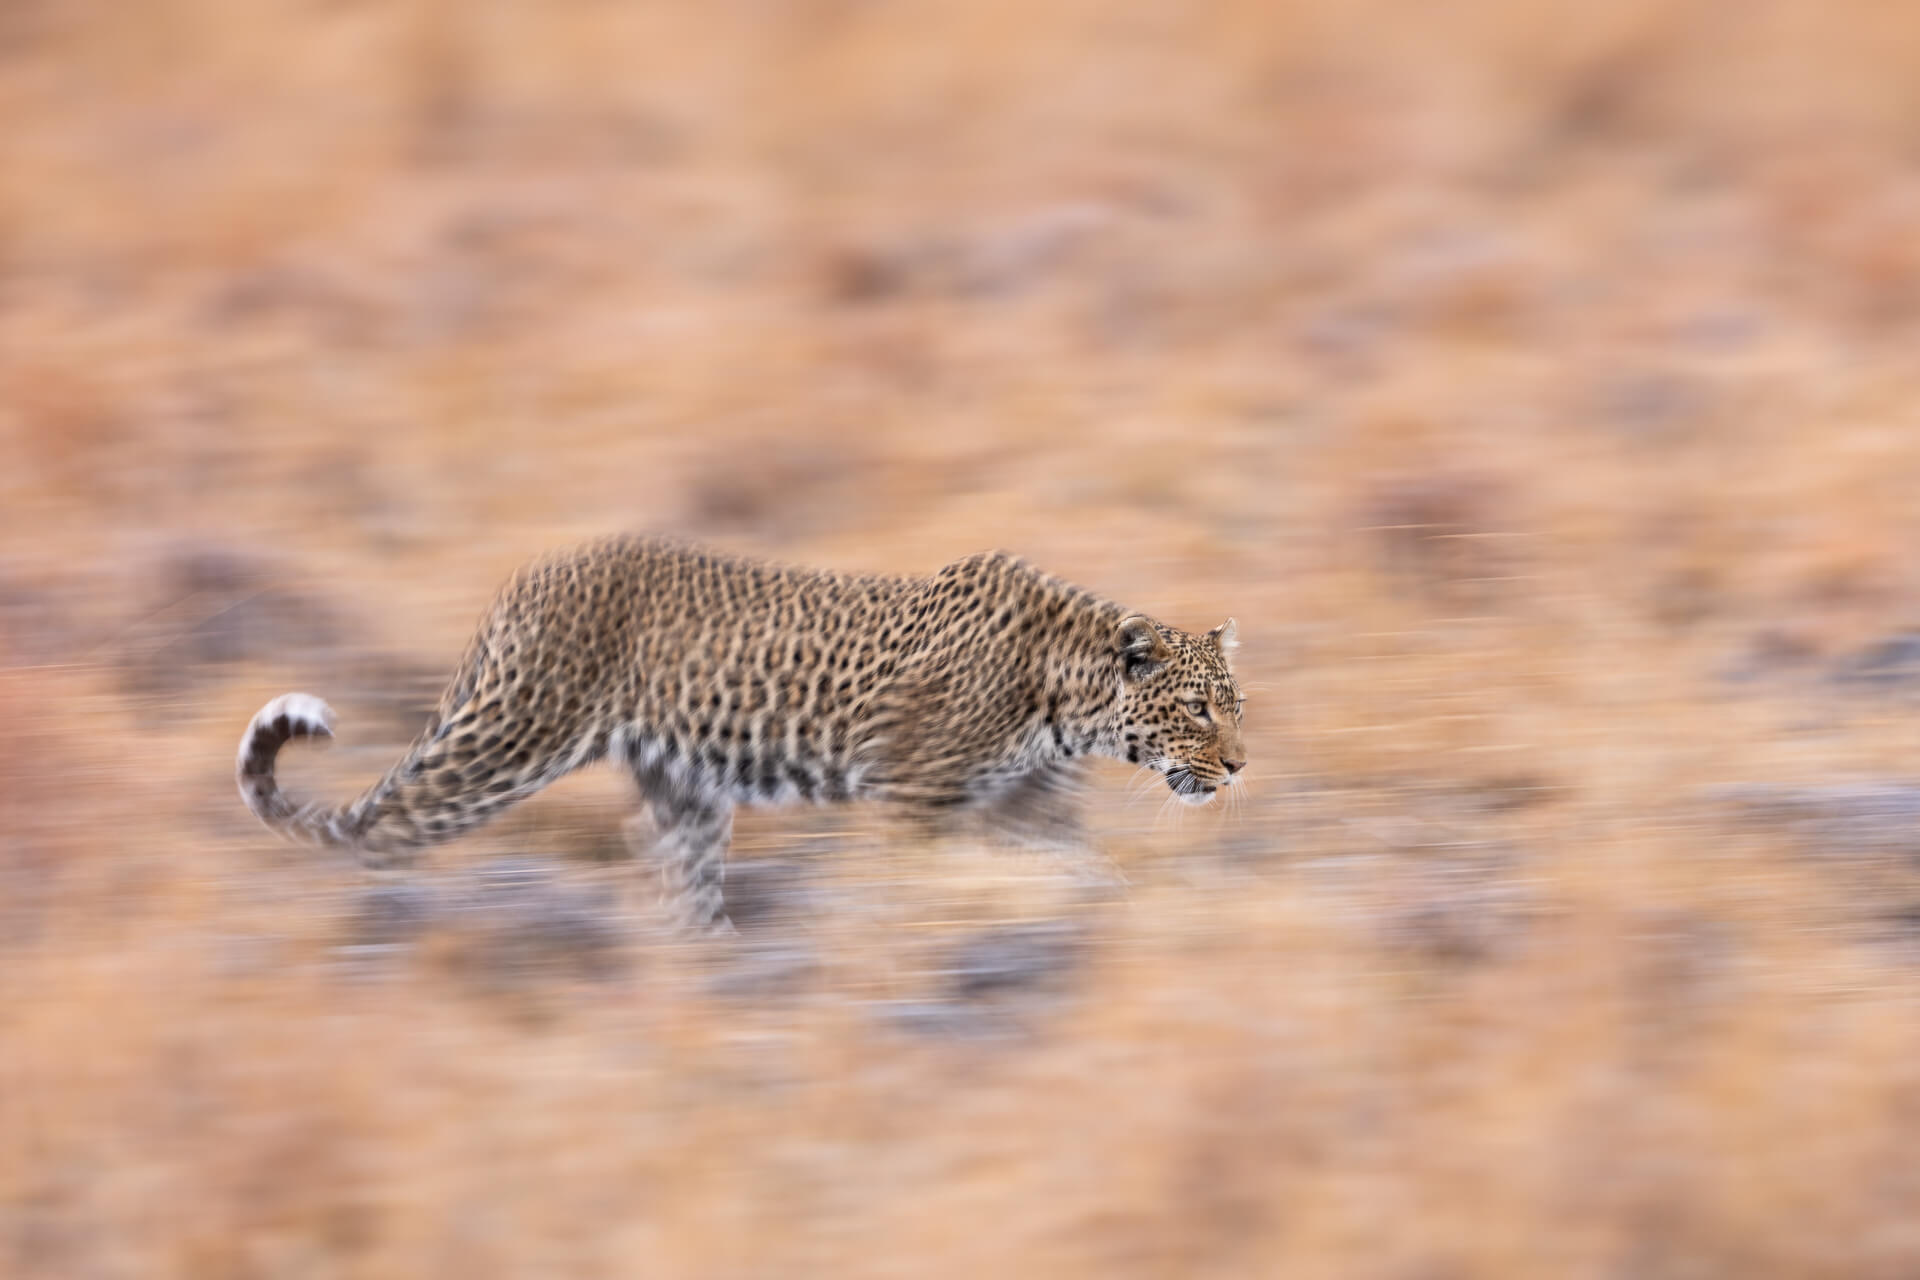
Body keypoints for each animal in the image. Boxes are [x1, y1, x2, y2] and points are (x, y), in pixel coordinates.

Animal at [236, 537, 1244, 936]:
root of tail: (533, 574)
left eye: (1237, 705)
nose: (1240, 765)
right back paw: (377, 928)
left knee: (679, 889)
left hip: (683, 792)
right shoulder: (916, 799)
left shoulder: (1025, 805)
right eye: (1199, 710)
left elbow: (1078, 866)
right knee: (389, 826)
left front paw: (1097, 905)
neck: (1066, 702)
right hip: (511, 736)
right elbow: (939, 880)